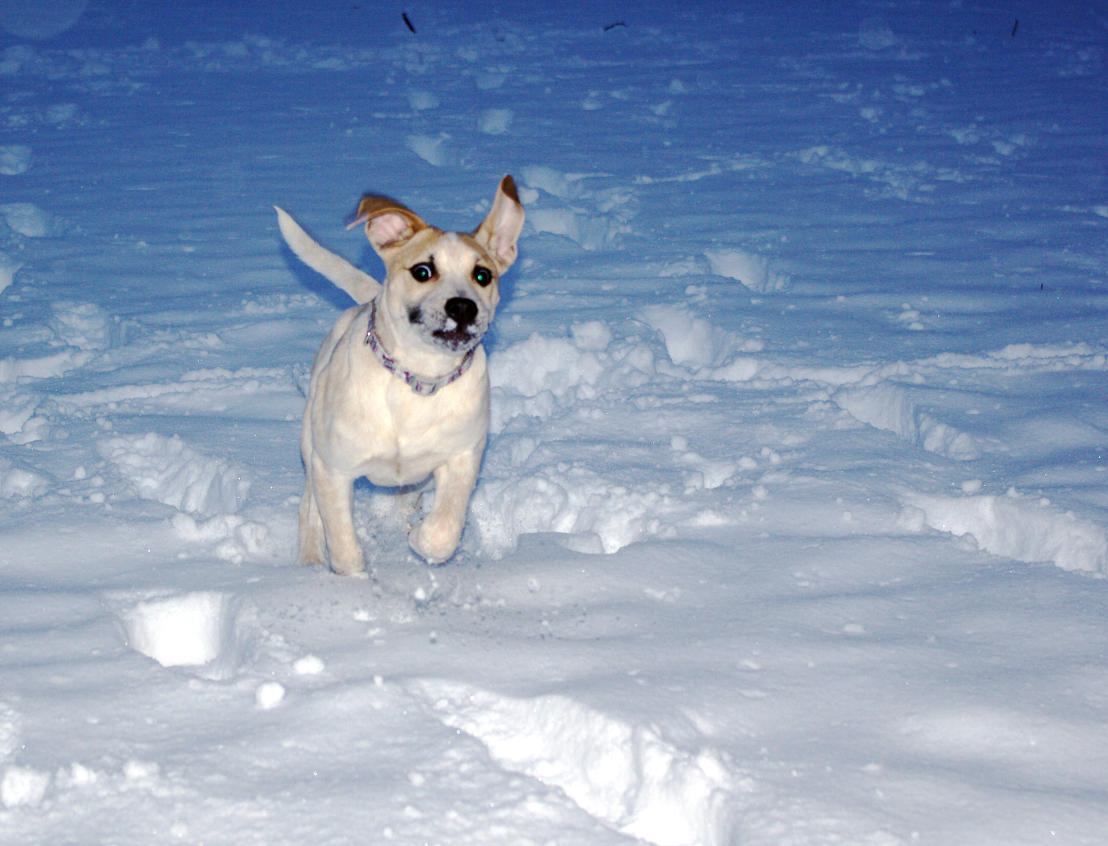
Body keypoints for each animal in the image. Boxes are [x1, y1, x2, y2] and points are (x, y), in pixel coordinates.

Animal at [272, 177, 522, 575]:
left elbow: (444, 530)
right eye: (422, 271)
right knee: (308, 509)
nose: (463, 306)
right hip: (310, 443)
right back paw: (310, 561)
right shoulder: (332, 467)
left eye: (482, 275)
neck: (417, 379)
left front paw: (420, 539)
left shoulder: (463, 455)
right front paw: (346, 577)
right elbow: (343, 545)